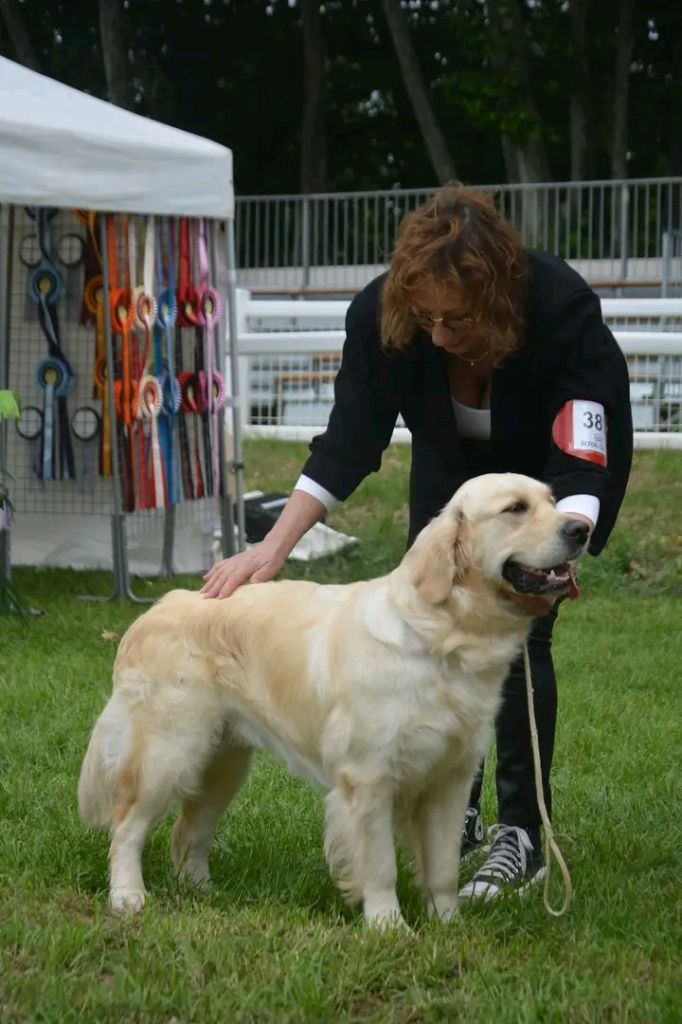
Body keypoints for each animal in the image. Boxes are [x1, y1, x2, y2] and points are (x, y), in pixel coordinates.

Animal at [78, 471, 585, 929]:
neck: (442, 638)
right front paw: (389, 928)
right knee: (127, 827)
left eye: (552, 500)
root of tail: (160, 607)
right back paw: (128, 897)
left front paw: (448, 926)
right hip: (169, 751)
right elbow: (379, 867)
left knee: (188, 832)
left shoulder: (452, 778)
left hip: (223, 761)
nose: (581, 528)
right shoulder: (369, 779)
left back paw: (203, 893)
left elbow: (441, 869)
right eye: (515, 509)